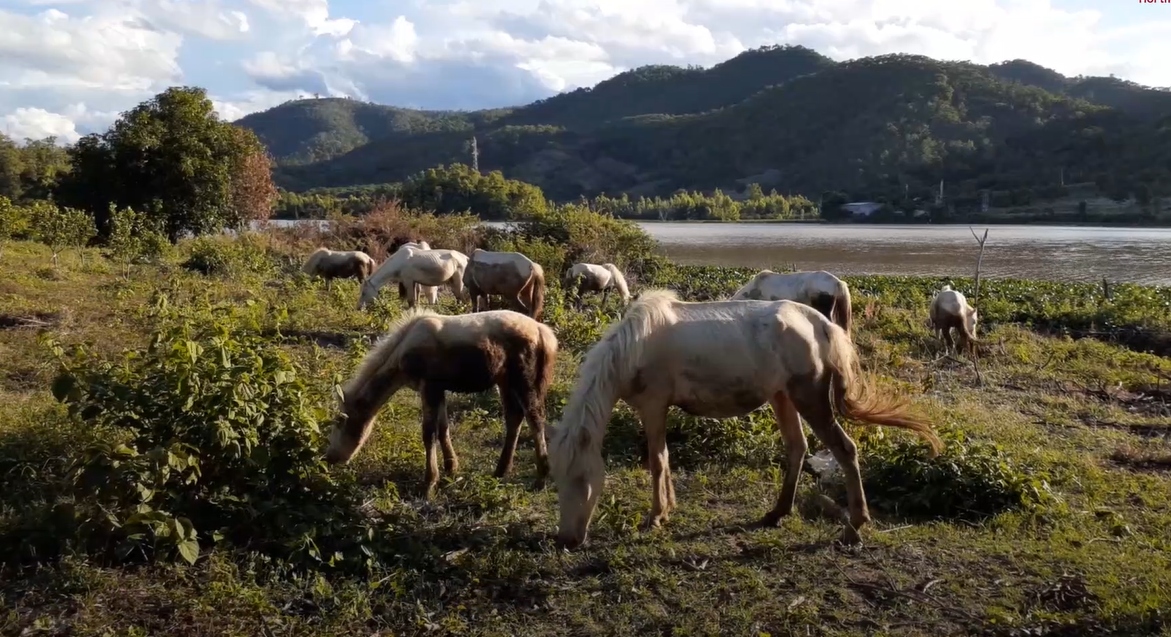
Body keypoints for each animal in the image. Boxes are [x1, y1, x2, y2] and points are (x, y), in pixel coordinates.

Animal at [320, 306, 557, 494]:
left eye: (340, 421)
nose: (330, 458)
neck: (402, 357)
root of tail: (542, 332)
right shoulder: (439, 389)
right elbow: (443, 429)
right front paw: (451, 468)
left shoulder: (430, 387)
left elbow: (429, 433)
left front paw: (429, 482)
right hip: (505, 382)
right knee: (514, 419)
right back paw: (500, 471)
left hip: (524, 381)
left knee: (535, 419)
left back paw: (541, 478)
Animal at [545, 288, 941, 548]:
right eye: (557, 478)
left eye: (581, 479)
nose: (567, 539)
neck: (633, 347)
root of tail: (821, 324)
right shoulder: (657, 408)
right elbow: (665, 460)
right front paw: (668, 509)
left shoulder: (653, 405)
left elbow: (657, 460)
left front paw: (656, 516)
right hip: (783, 397)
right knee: (797, 448)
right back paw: (777, 513)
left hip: (809, 398)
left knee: (845, 450)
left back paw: (854, 526)